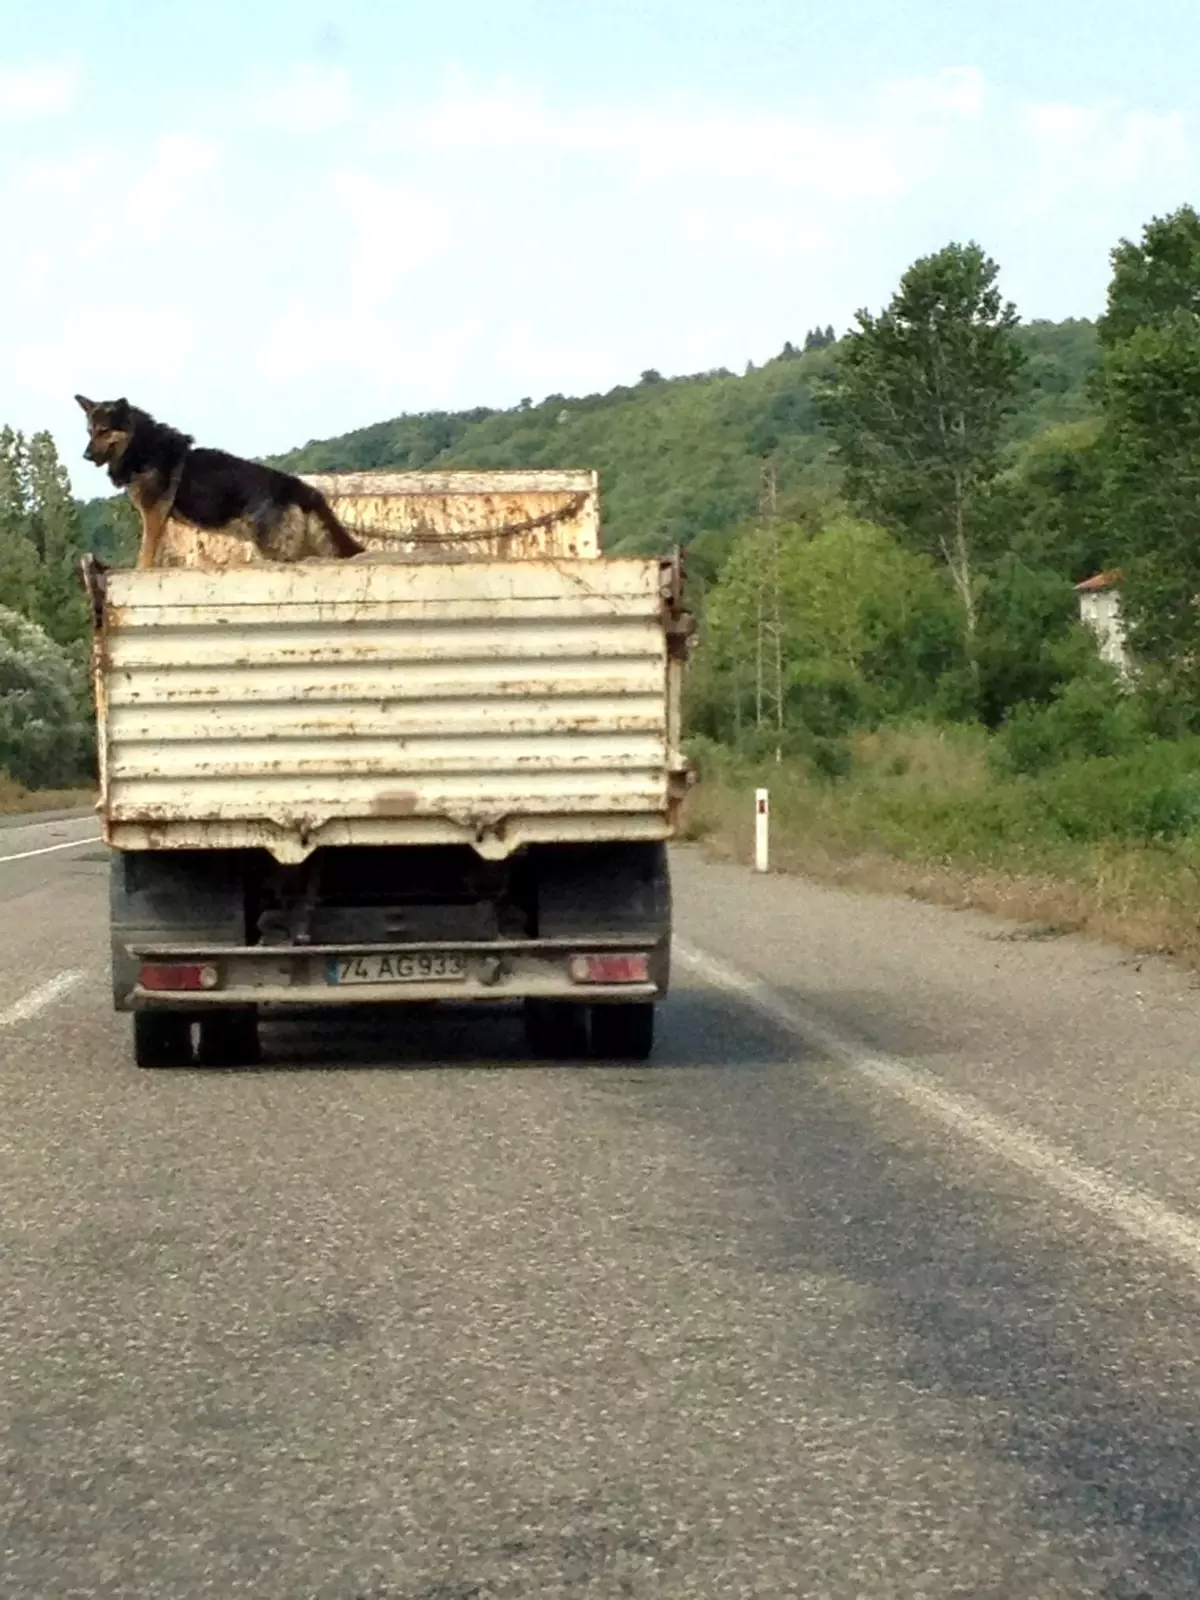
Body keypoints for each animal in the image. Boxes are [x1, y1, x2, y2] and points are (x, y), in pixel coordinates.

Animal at [75, 393, 361, 569]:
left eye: (104, 431)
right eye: (89, 432)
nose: (85, 456)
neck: (142, 446)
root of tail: (299, 487)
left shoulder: (153, 516)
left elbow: (145, 556)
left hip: (277, 552)